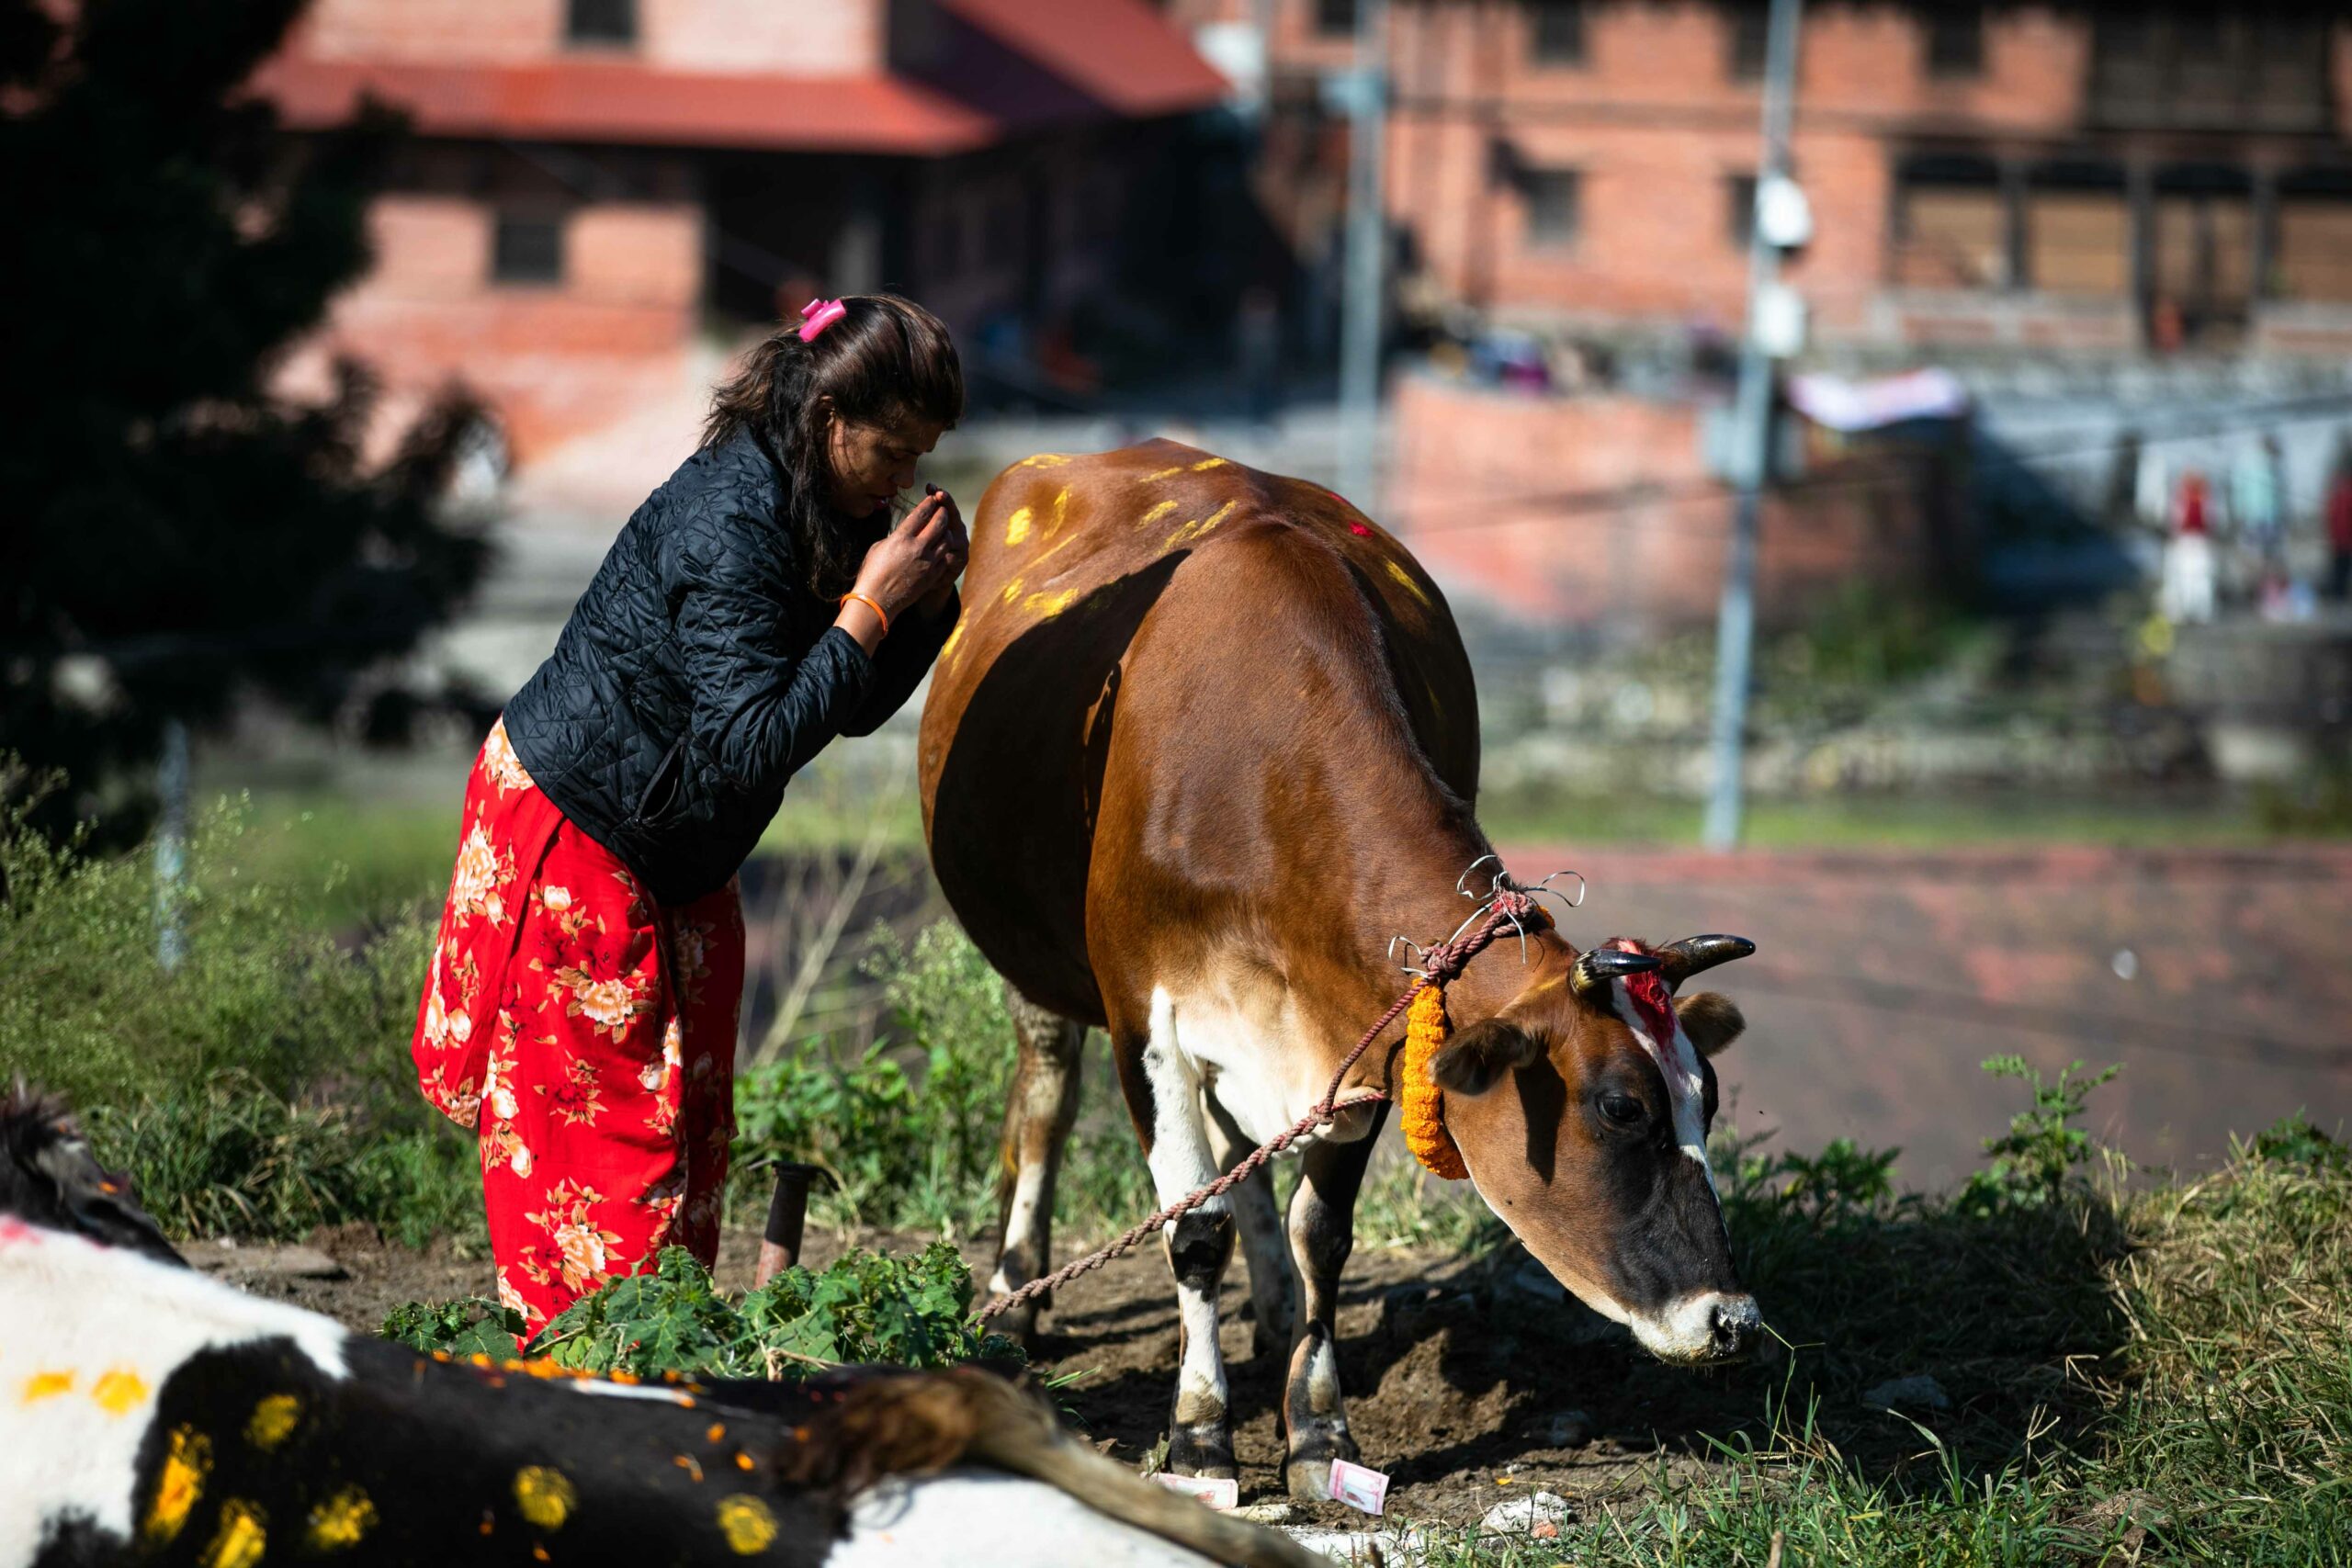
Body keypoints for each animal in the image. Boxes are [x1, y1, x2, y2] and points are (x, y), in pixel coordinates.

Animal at [919, 442, 1762, 1500]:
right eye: (1620, 1108)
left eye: (1710, 1098)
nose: (1731, 1320)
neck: (1258, 773)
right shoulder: (1146, 1025)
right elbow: (1191, 1233)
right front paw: (1199, 1433)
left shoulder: (1363, 1038)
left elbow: (1321, 1233)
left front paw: (1318, 1429)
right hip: (1037, 969)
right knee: (1046, 1098)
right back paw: (1016, 1286)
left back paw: (1273, 1307)